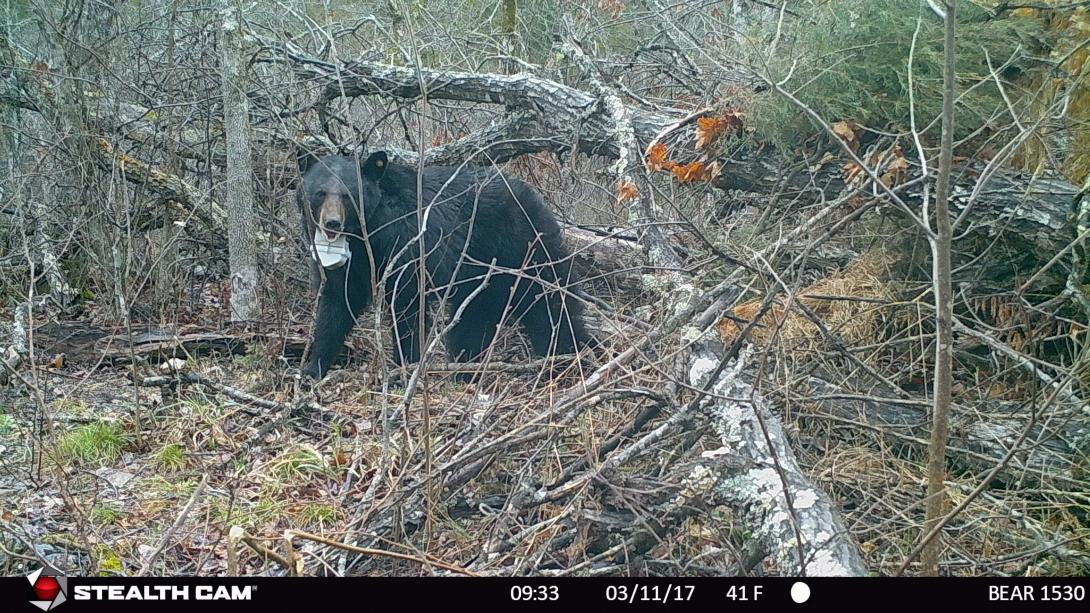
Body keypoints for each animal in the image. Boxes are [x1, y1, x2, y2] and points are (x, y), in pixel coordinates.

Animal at [296, 151, 588, 377]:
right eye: (320, 193)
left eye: (349, 195)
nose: (332, 223)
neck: (366, 235)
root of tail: (537, 199)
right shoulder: (349, 265)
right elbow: (337, 302)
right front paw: (314, 367)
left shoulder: (406, 242)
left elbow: (406, 304)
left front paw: (405, 368)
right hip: (483, 274)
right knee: (474, 317)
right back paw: (465, 366)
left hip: (524, 247)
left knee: (549, 300)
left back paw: (570, 354)